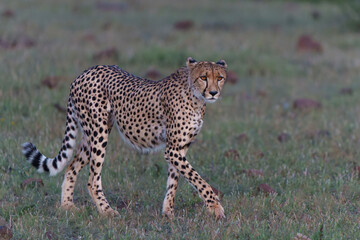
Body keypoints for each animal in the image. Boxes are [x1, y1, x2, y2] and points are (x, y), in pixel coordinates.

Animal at [21, 57, 226, 218]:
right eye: (203, 77)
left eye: (220, 78)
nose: (213, 92)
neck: (195, 96)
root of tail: (84, 73)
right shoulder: (173, 149)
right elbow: (198, 179)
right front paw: (215, 208)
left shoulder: (179, 148)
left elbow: (174, 180)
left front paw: (168, 212)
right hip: (99, 132)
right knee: (92, 179)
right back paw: (107, 211)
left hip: (90, 135)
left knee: (72, 166)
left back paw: (67, 206)